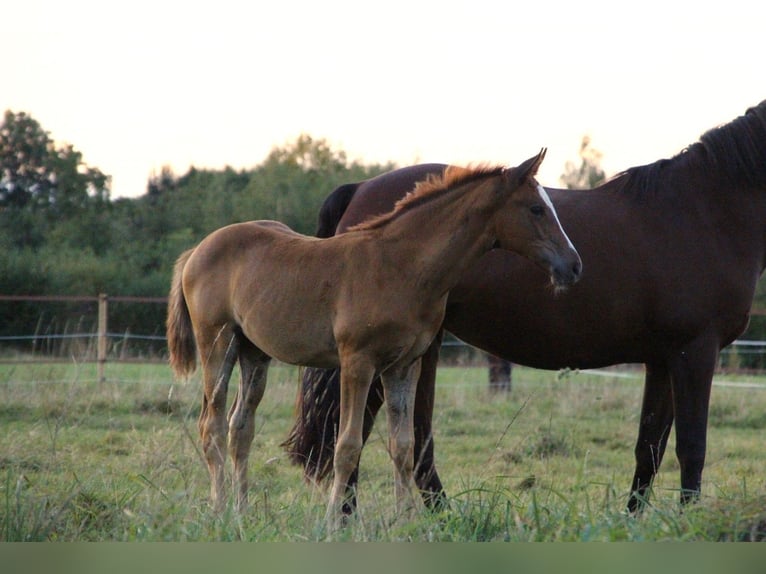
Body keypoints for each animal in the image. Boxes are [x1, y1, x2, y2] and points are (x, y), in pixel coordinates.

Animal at [284, 98, 766, 512]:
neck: (702, 210)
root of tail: (359, 188)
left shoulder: (663, 358)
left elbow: (649, 447)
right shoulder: (695, 351)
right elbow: (692, 447)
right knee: (377, 435)